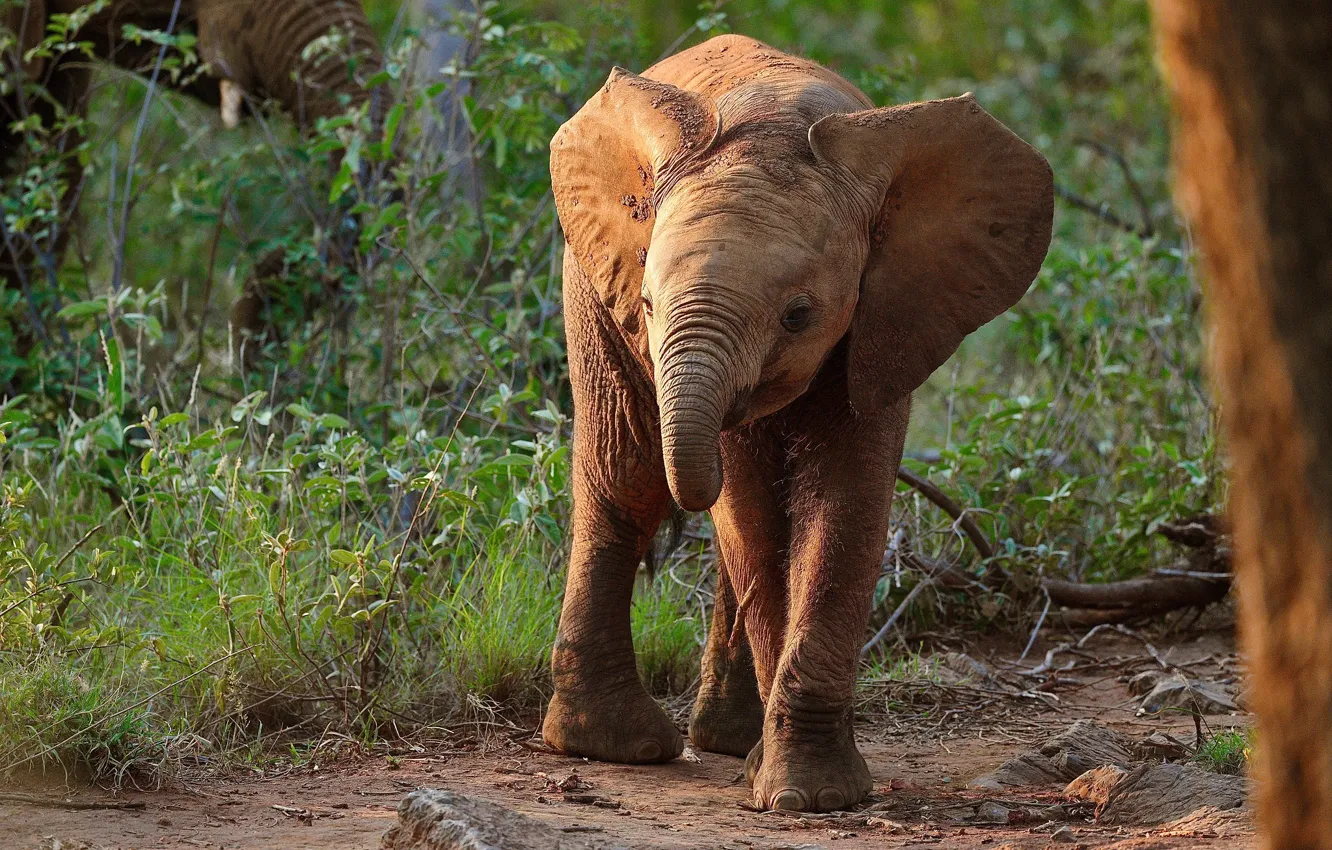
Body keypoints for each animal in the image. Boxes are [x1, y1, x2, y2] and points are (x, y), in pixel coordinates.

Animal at [543, 34, 1053, 813]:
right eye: (651, 304)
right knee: (623, 479)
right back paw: (621, 748)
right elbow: (751, 512)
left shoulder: (889, 314)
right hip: (589, 280)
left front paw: (808, 794)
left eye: (798, 316)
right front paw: (793, 786)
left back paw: (725, 742)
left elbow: (844, 501)